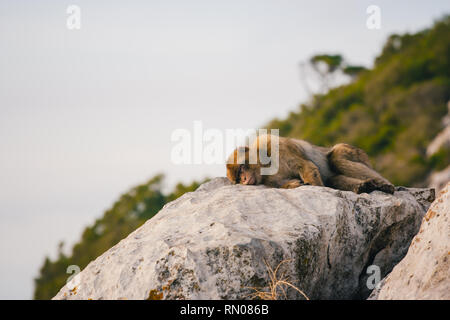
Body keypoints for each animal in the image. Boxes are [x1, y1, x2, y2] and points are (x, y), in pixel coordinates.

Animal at [225, 134, 394, 194]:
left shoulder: (276, 146)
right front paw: (293, 185)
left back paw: (384, 184)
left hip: (357, 154)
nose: (244, 180)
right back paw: (363, 186)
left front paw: (316, 187)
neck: (265, 166)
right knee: (333, 178)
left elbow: (306, 167)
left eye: (241, 169)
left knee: (336, 158)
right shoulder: (268, 180)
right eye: (238, 178)